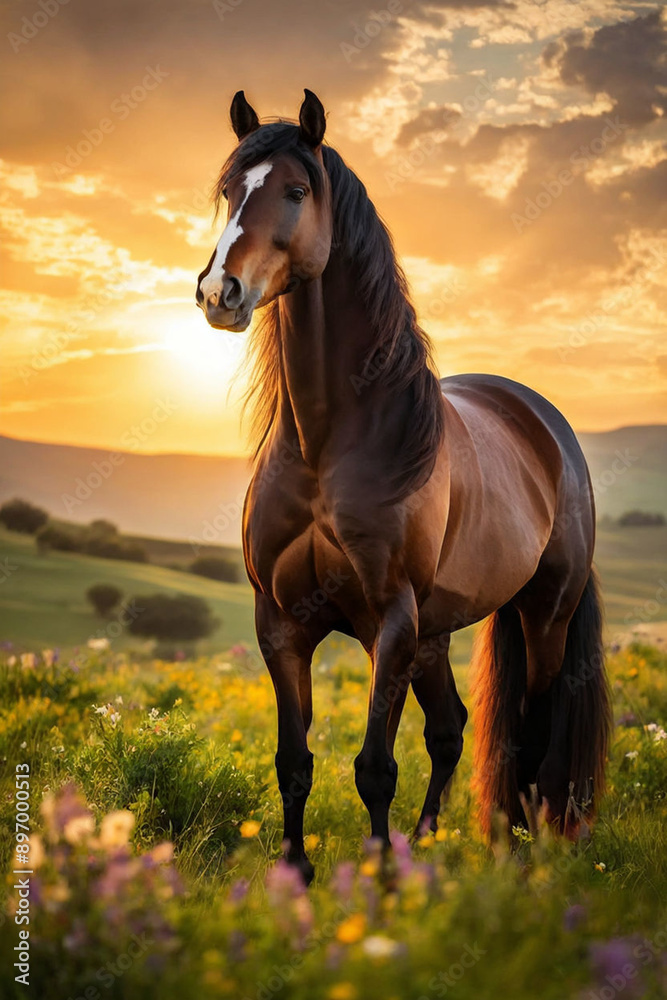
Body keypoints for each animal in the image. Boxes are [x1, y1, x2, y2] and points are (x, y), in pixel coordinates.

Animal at [196, 89, 612, 883]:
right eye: (229, 191)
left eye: (295, 191)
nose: (218, 293)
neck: (332, 440)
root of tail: (545, 425)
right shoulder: (281, 624)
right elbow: (293, 762)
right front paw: (298, 877)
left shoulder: (387, 620)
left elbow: (373, 767)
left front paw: (382, 883)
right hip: (436, 633)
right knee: (453, 732)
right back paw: (437, 844)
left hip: (540, 615)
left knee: (534, 739)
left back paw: (528, 856)